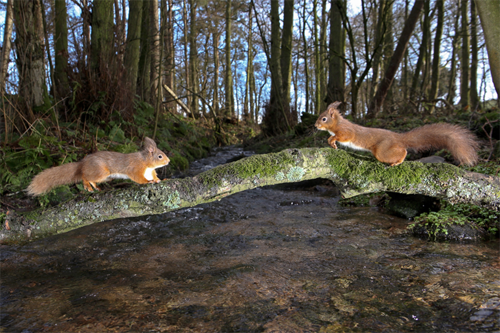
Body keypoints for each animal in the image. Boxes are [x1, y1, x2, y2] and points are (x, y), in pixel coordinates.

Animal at [27, 137, 170, 196]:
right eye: (160, 156)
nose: (168, 161)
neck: (146, 162)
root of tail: (83, 163)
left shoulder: (149, 171)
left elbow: (154, 176)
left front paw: (160, 179)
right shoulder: (135, 168)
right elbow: (138, 178)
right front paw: (148, 182)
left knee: (91, 179)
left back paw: (96, 187)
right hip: (101, 172)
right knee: (85, 176)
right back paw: (88, 187)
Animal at [316, 101, 480, 166]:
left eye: (324, 118)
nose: (315, 125)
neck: (338, 124)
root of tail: (398, 137)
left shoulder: (347, 131)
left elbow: (343, 136)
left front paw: (332, 139)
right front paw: (332, 143)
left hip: (383, 151)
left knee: (403, 151)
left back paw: (398, 161)